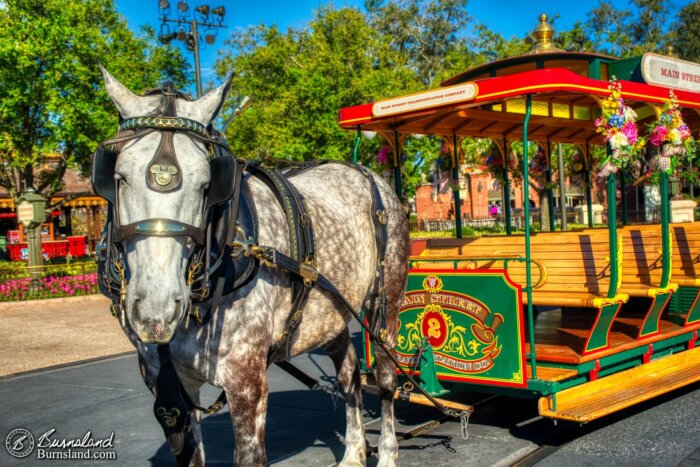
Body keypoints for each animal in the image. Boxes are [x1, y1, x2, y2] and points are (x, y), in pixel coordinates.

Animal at [95, 67, 408, 466]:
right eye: (117, 178)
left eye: (207, 185)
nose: (157, 308)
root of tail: (368, 174)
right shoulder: (166, 388)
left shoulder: (246, 381)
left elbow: (249, 455)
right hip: (333, 311)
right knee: (350, 374)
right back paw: (353, 452)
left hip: (385, 303)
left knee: (385, 377)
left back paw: (387, 452)